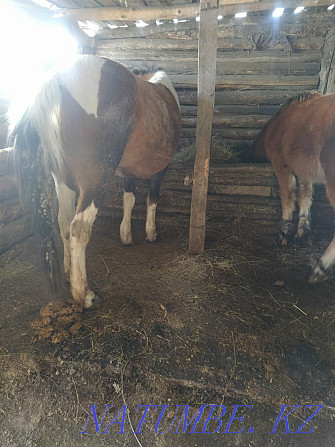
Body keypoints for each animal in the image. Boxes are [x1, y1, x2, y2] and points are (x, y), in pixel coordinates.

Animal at [10, 55, 181, 308]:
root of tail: (57, 78)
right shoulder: (161, 169)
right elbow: (152, 199)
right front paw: (151, 233)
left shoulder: (128, 172)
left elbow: (129, 200)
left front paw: (126, 236)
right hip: (92, 182)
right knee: (79, 227)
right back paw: (84, 294)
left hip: (63, 179)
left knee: (63, 220)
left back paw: (68, 272)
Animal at [253, 92, 335, 284]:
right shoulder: (304, 170)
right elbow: (305, 196)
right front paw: (301, 234)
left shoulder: (281, 165)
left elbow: (288, 196)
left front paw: (284, 233)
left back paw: (320, 268)